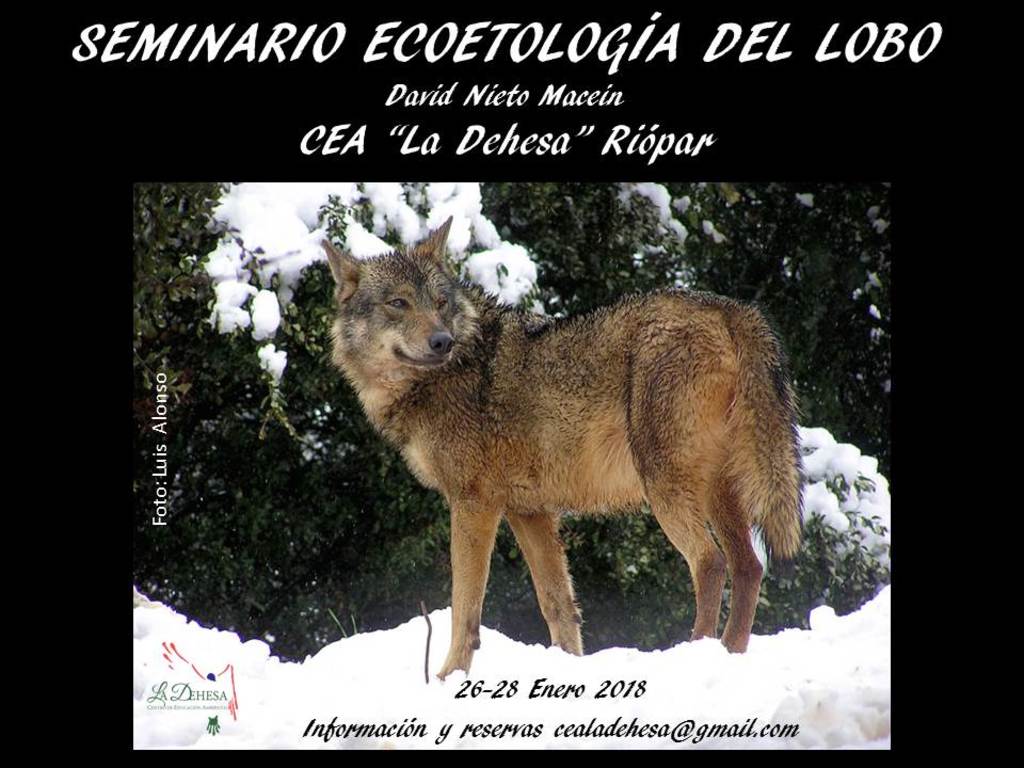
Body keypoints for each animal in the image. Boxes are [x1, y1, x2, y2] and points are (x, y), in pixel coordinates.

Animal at [324, 217, 802, 680]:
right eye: (398, 303)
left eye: (440, 303)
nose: (442, 341)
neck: (444, 374)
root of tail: (730, 308)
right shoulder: (529, 512)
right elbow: (558, 605)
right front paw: (568, 667)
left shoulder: (473, 504)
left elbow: (465, 607)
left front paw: (447, 677)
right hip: (716, 492)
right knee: (749, 567)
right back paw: (730, 654)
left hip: (665, 490)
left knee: (710, 564)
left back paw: (694, 654)